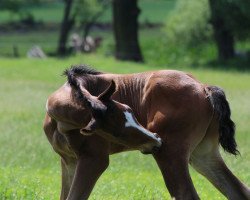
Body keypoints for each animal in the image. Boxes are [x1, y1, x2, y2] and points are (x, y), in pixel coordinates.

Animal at [43, 65, 250, 199]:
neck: (60, 123)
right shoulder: (69, 161)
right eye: (117, 132)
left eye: (131, 111)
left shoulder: (93, 160)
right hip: (203, 155)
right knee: (239, 191)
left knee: (186, 194)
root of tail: (204, 87)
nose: (156, 140)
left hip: (171, 155)